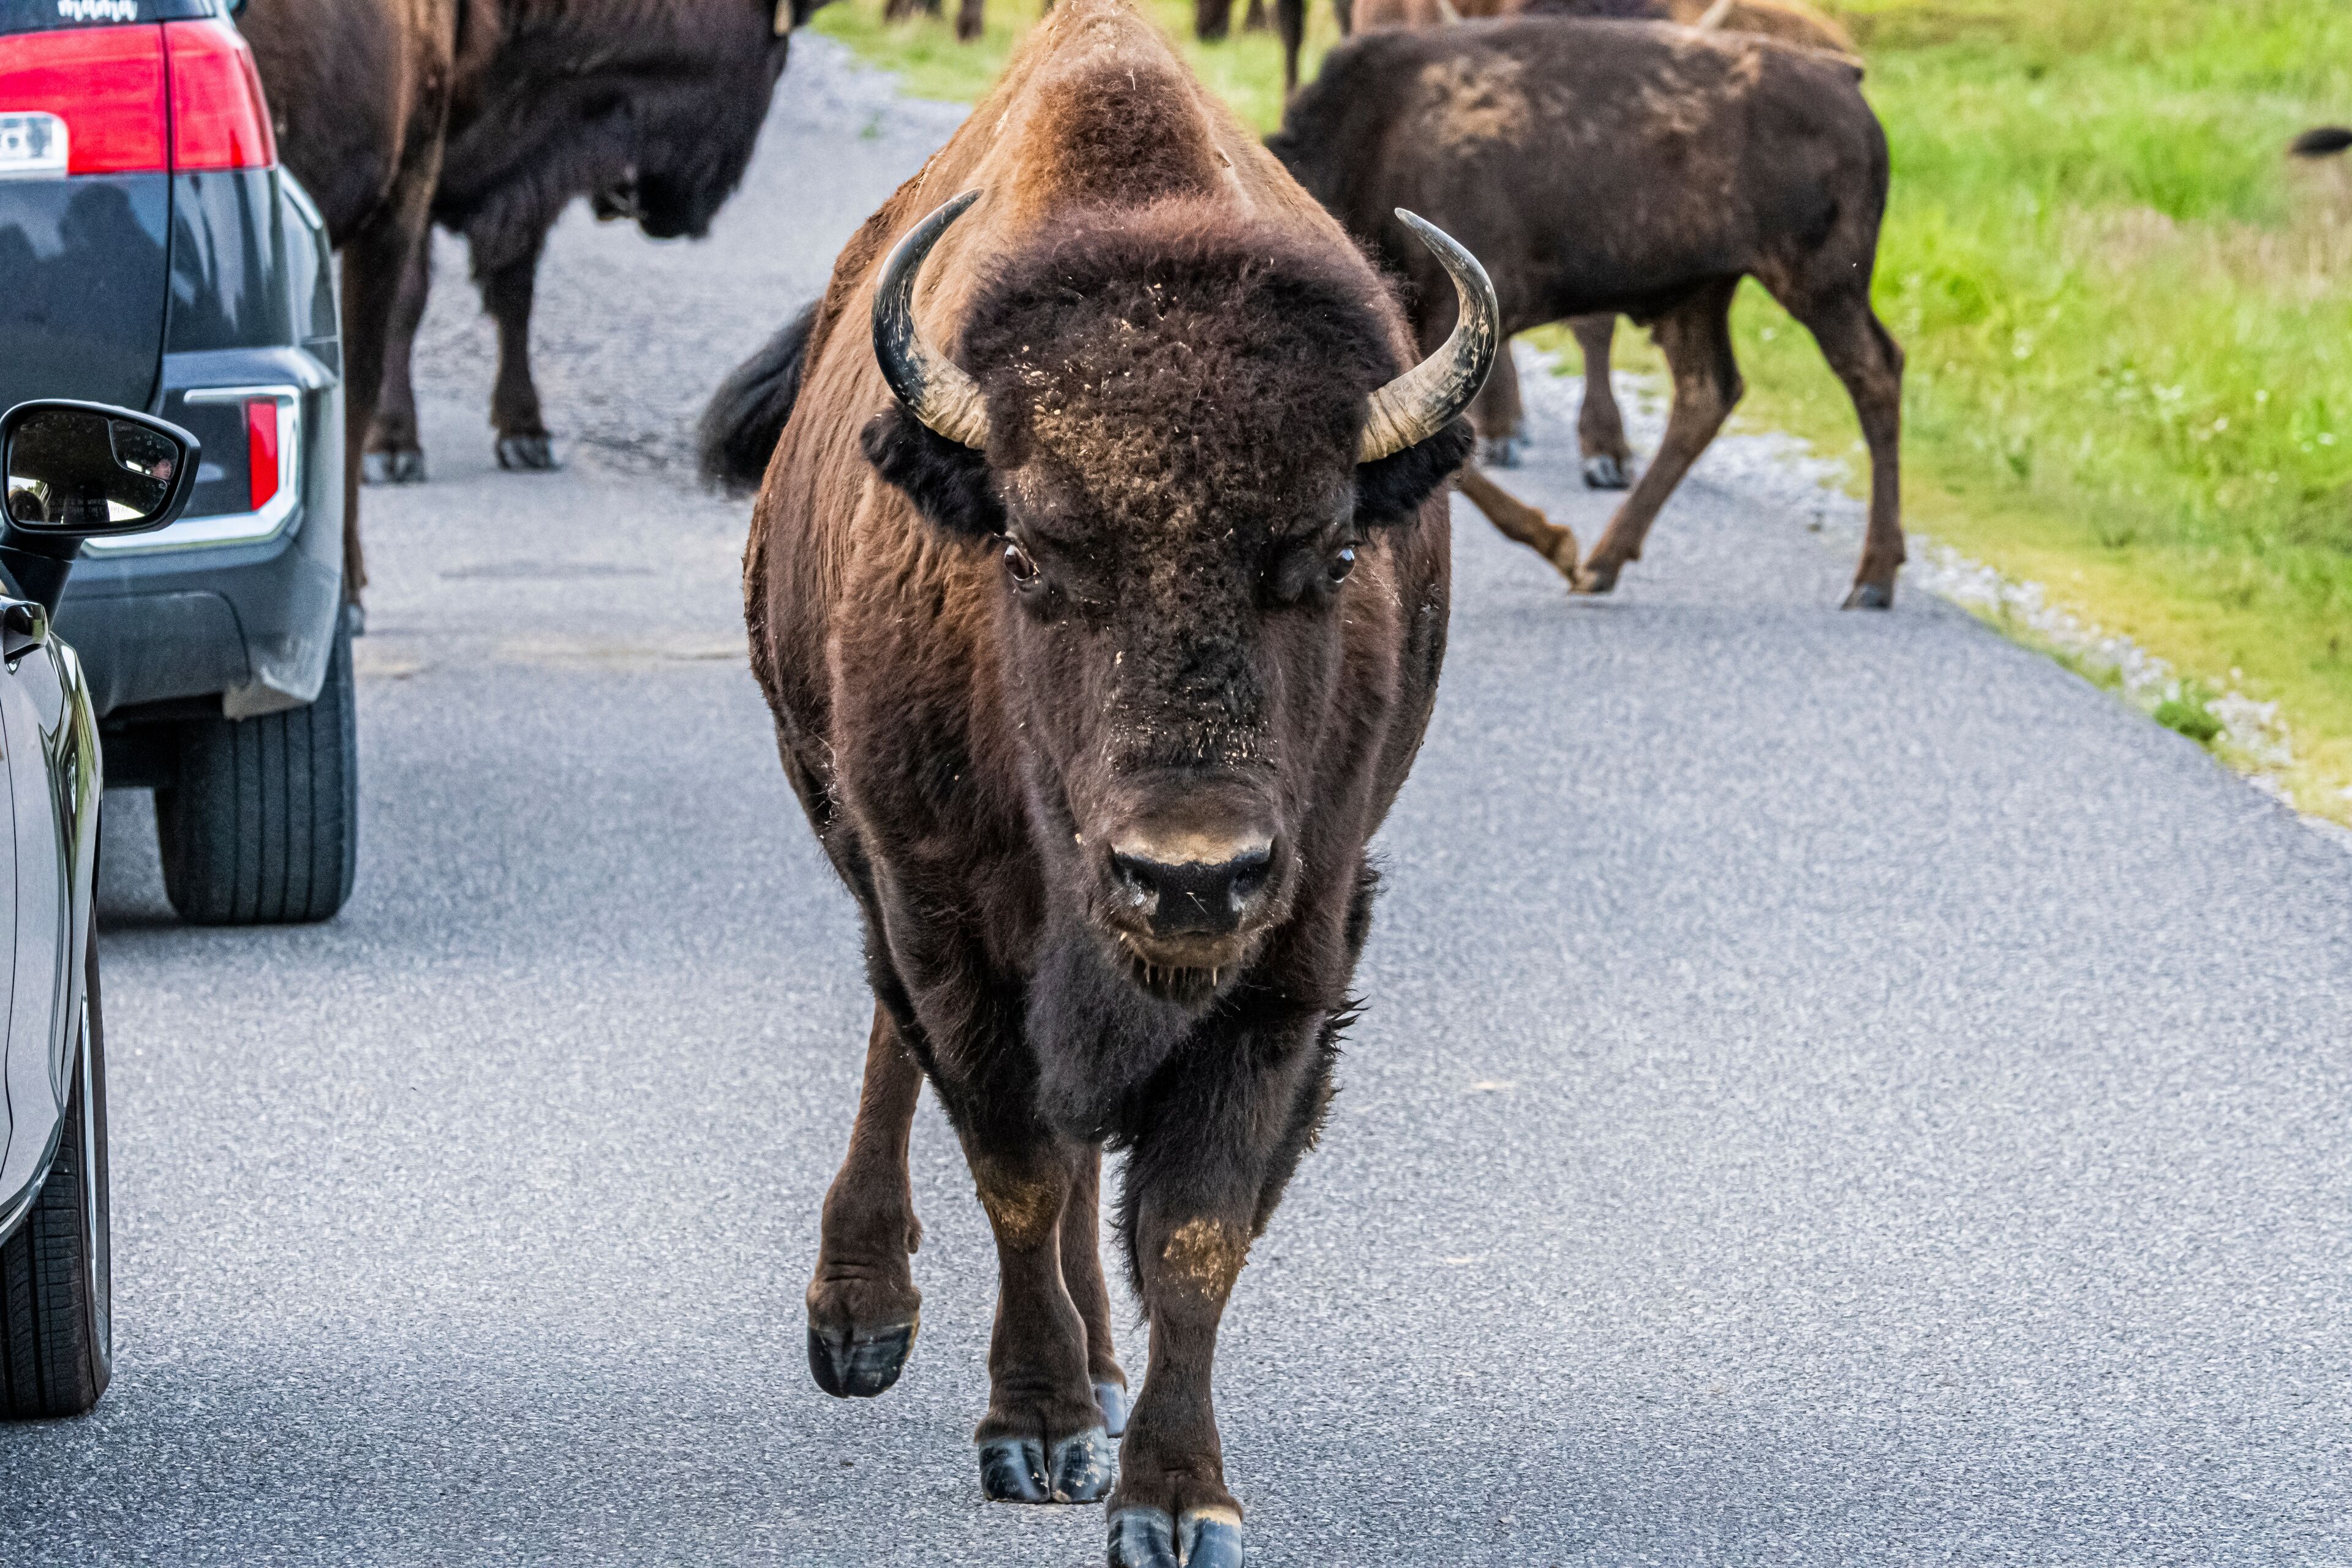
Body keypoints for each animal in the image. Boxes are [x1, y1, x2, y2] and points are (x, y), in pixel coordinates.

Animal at [701, 0, 1492, 1558]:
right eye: (1027, 553)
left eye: (1330, 554)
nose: (1184, 870)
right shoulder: (941, 906)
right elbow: (1014, 1160)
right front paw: (1041, 1427)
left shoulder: (1296, 945)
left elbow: (1190, 1222)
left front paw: (1175, 1494)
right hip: (865, 849)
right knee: (924, 1066)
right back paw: (865, 1318)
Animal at [1272, 17, 1907, 606]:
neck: (1375, 139)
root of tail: (1842, 77)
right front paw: (1563, 549)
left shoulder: (1447, 328)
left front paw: (1556, 544)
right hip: (1705, 294)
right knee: (1708, 392)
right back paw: (1602, 565)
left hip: (1820, 287)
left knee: (1874, 374)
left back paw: (1871, 582)